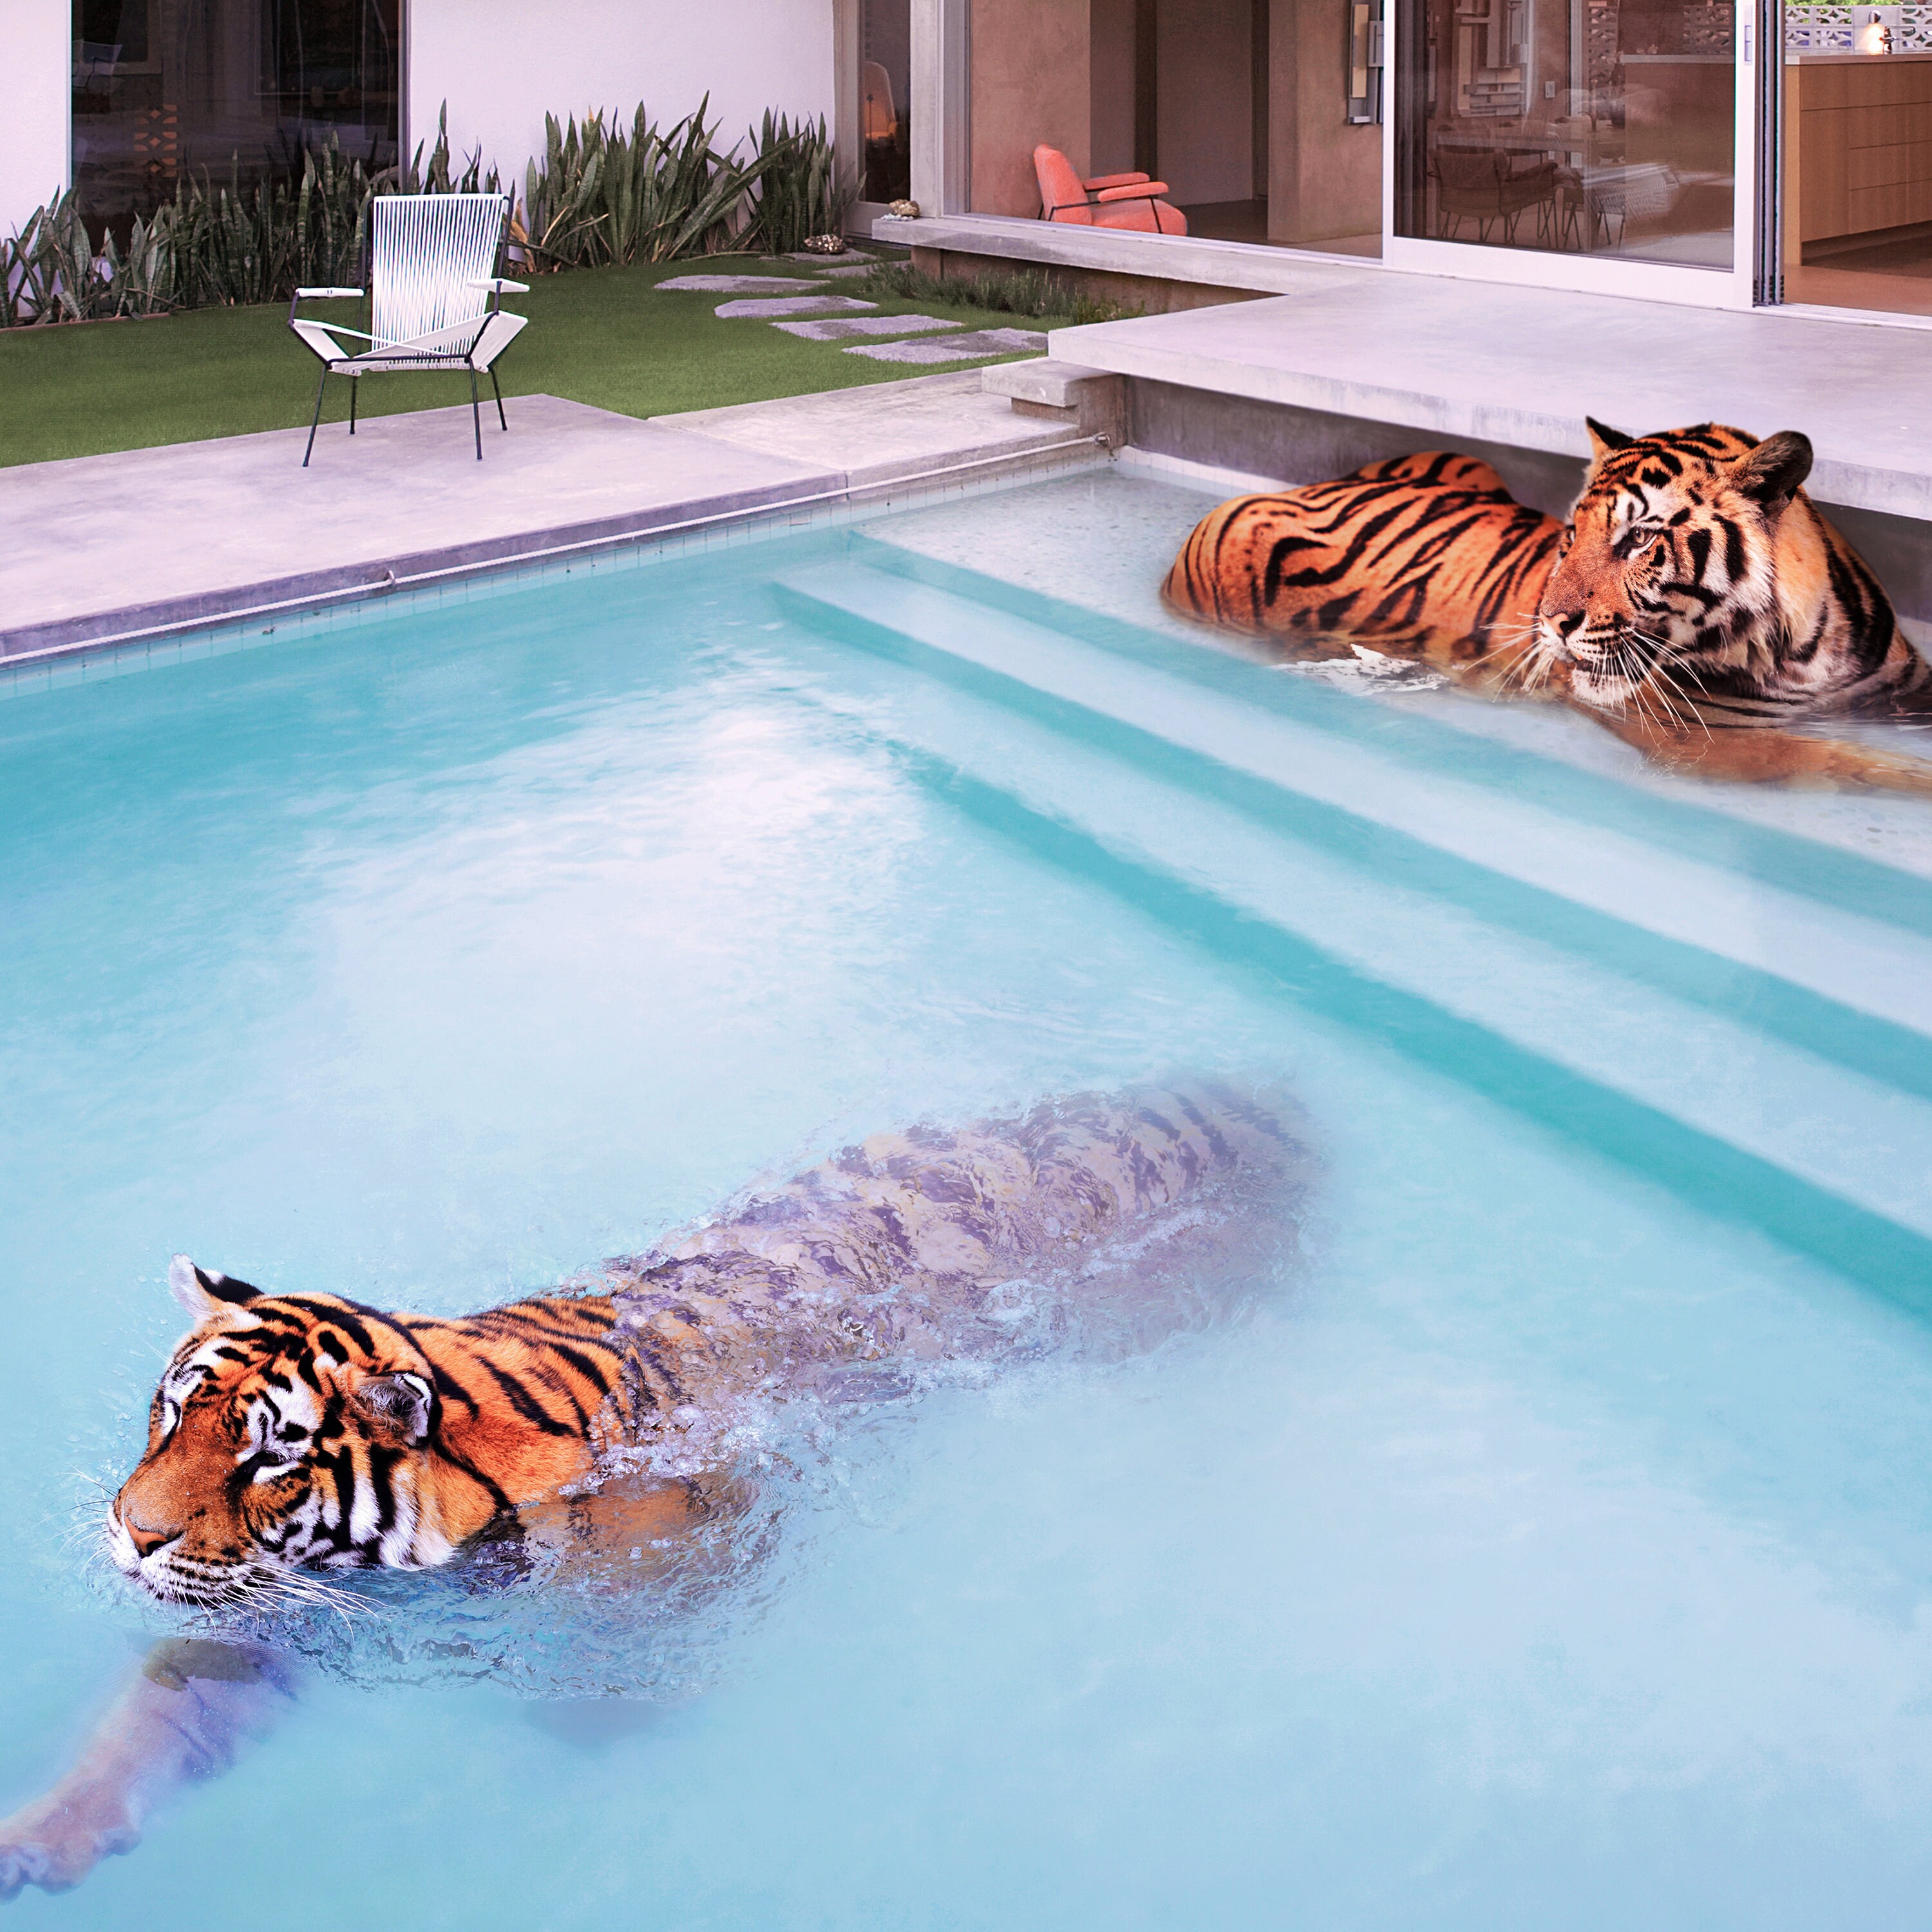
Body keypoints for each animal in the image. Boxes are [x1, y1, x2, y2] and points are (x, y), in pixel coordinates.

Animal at [0, 1083, 1304, 1898]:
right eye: (173, 1415)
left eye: (268, 1457)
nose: (128, 1536)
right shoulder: (276, 1615)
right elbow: (157, 1722)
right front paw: (42, 1838)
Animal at [1162, 421, 1932, 795]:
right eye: (1572, 535)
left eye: (1639, 538)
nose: (1552, 624)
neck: (1803, 652)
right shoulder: (1691, 736)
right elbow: (1833, 757)